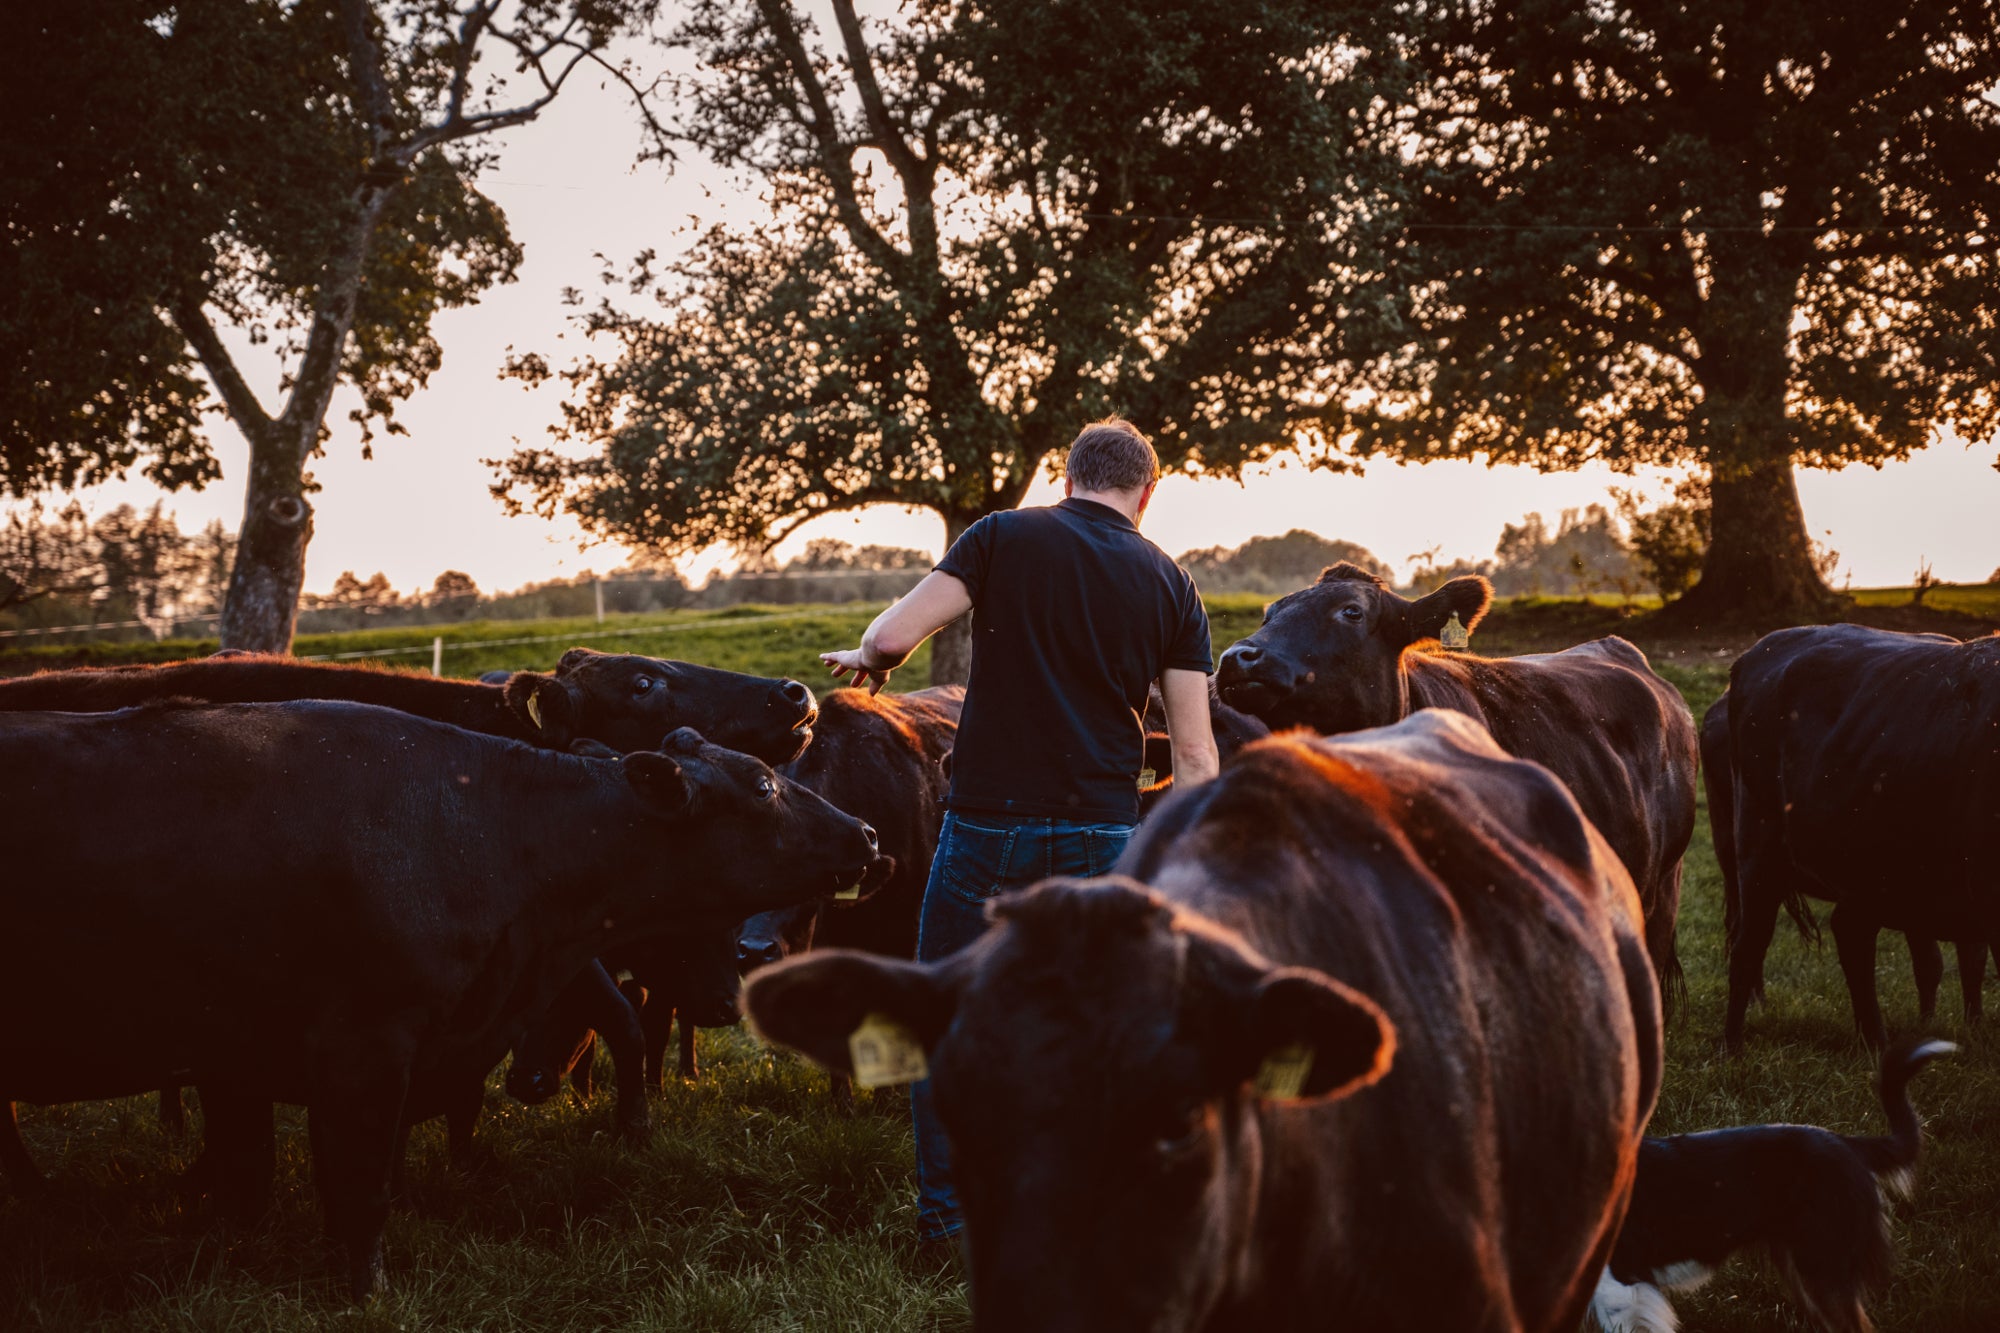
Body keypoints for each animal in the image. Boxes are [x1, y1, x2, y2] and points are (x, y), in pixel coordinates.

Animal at [1720, 624, 2000, 1048]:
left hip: (1872, 868)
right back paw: (1732, 1047)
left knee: (1855, 935)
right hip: (1758, 848)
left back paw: (1876, 1041)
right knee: (1748, 945)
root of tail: (1762, 649)